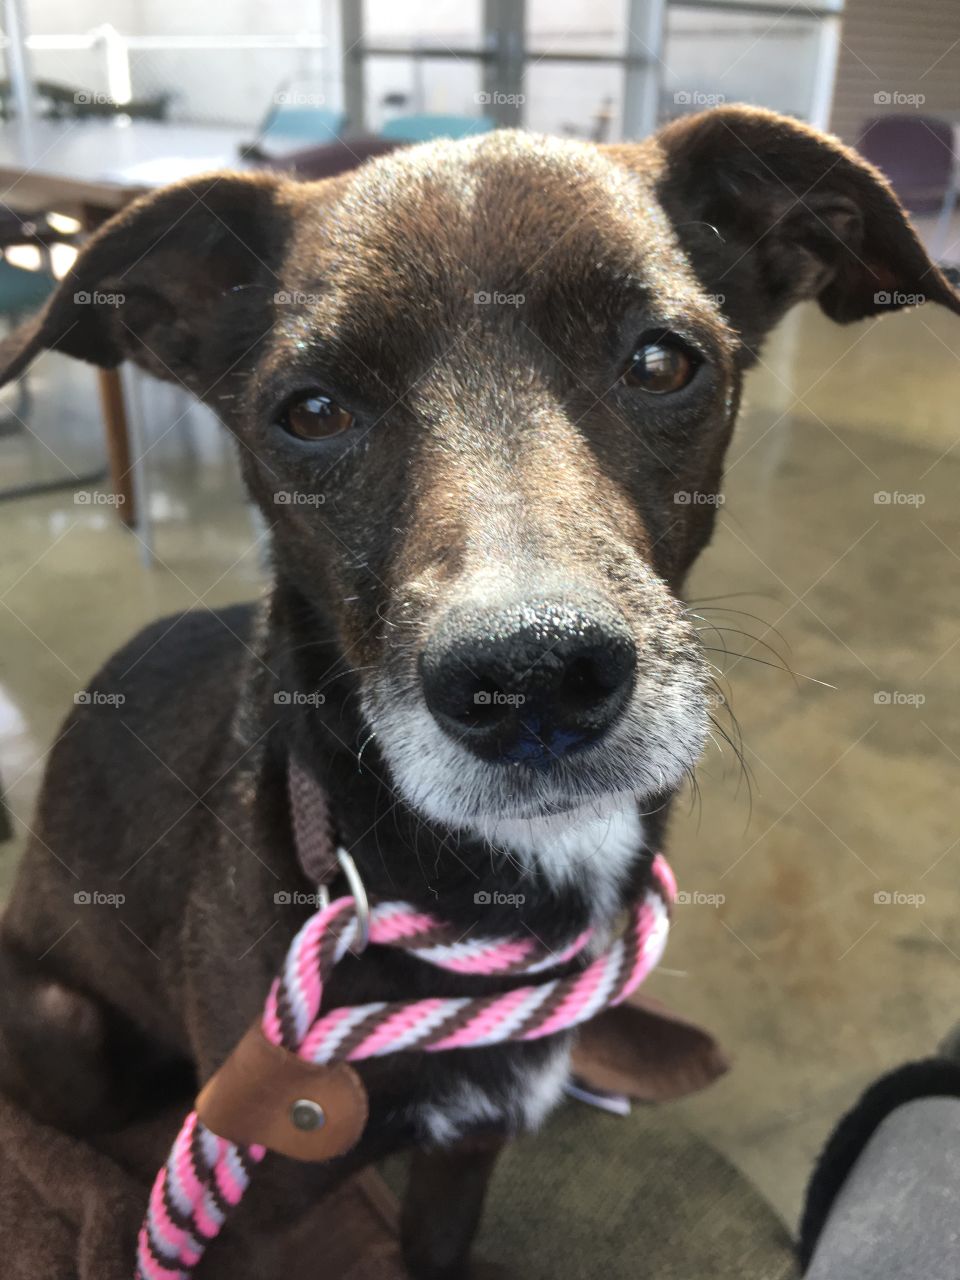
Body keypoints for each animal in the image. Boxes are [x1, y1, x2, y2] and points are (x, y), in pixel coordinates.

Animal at [0, 110, 957, 1280]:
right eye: (309, 412)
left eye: (661, 360)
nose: (534, 678)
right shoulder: (249, 1213)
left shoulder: (472, 1146)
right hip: (65, 1028)